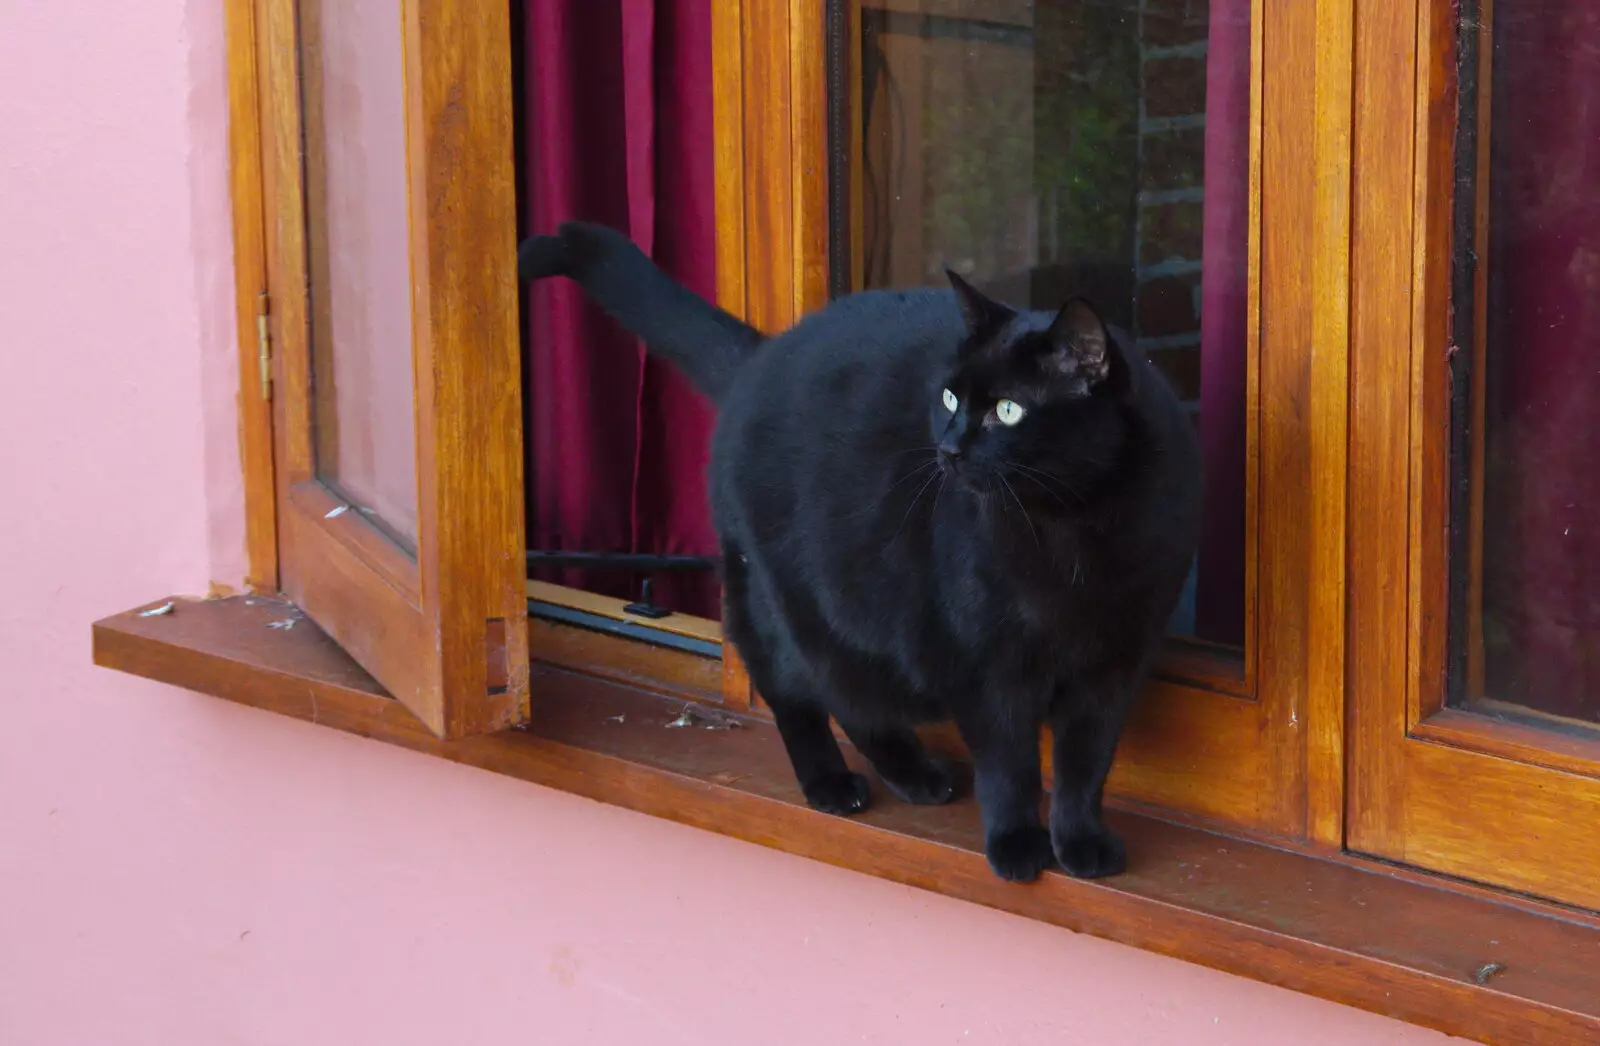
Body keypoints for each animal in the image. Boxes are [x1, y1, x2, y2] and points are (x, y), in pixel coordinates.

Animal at [521, 223, 1203, 882]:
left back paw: (913, 775)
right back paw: (838, 783)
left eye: (1009, 410)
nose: (949, 447)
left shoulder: (1116, 662)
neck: (1073, 529)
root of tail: (763, 353)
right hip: (790, 597)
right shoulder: (988, 667)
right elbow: (1010, 765)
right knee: (803, 687)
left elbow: (1087, 762)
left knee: (853, 694)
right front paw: (1016, 845)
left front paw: (1082, 842)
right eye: (951, 399)